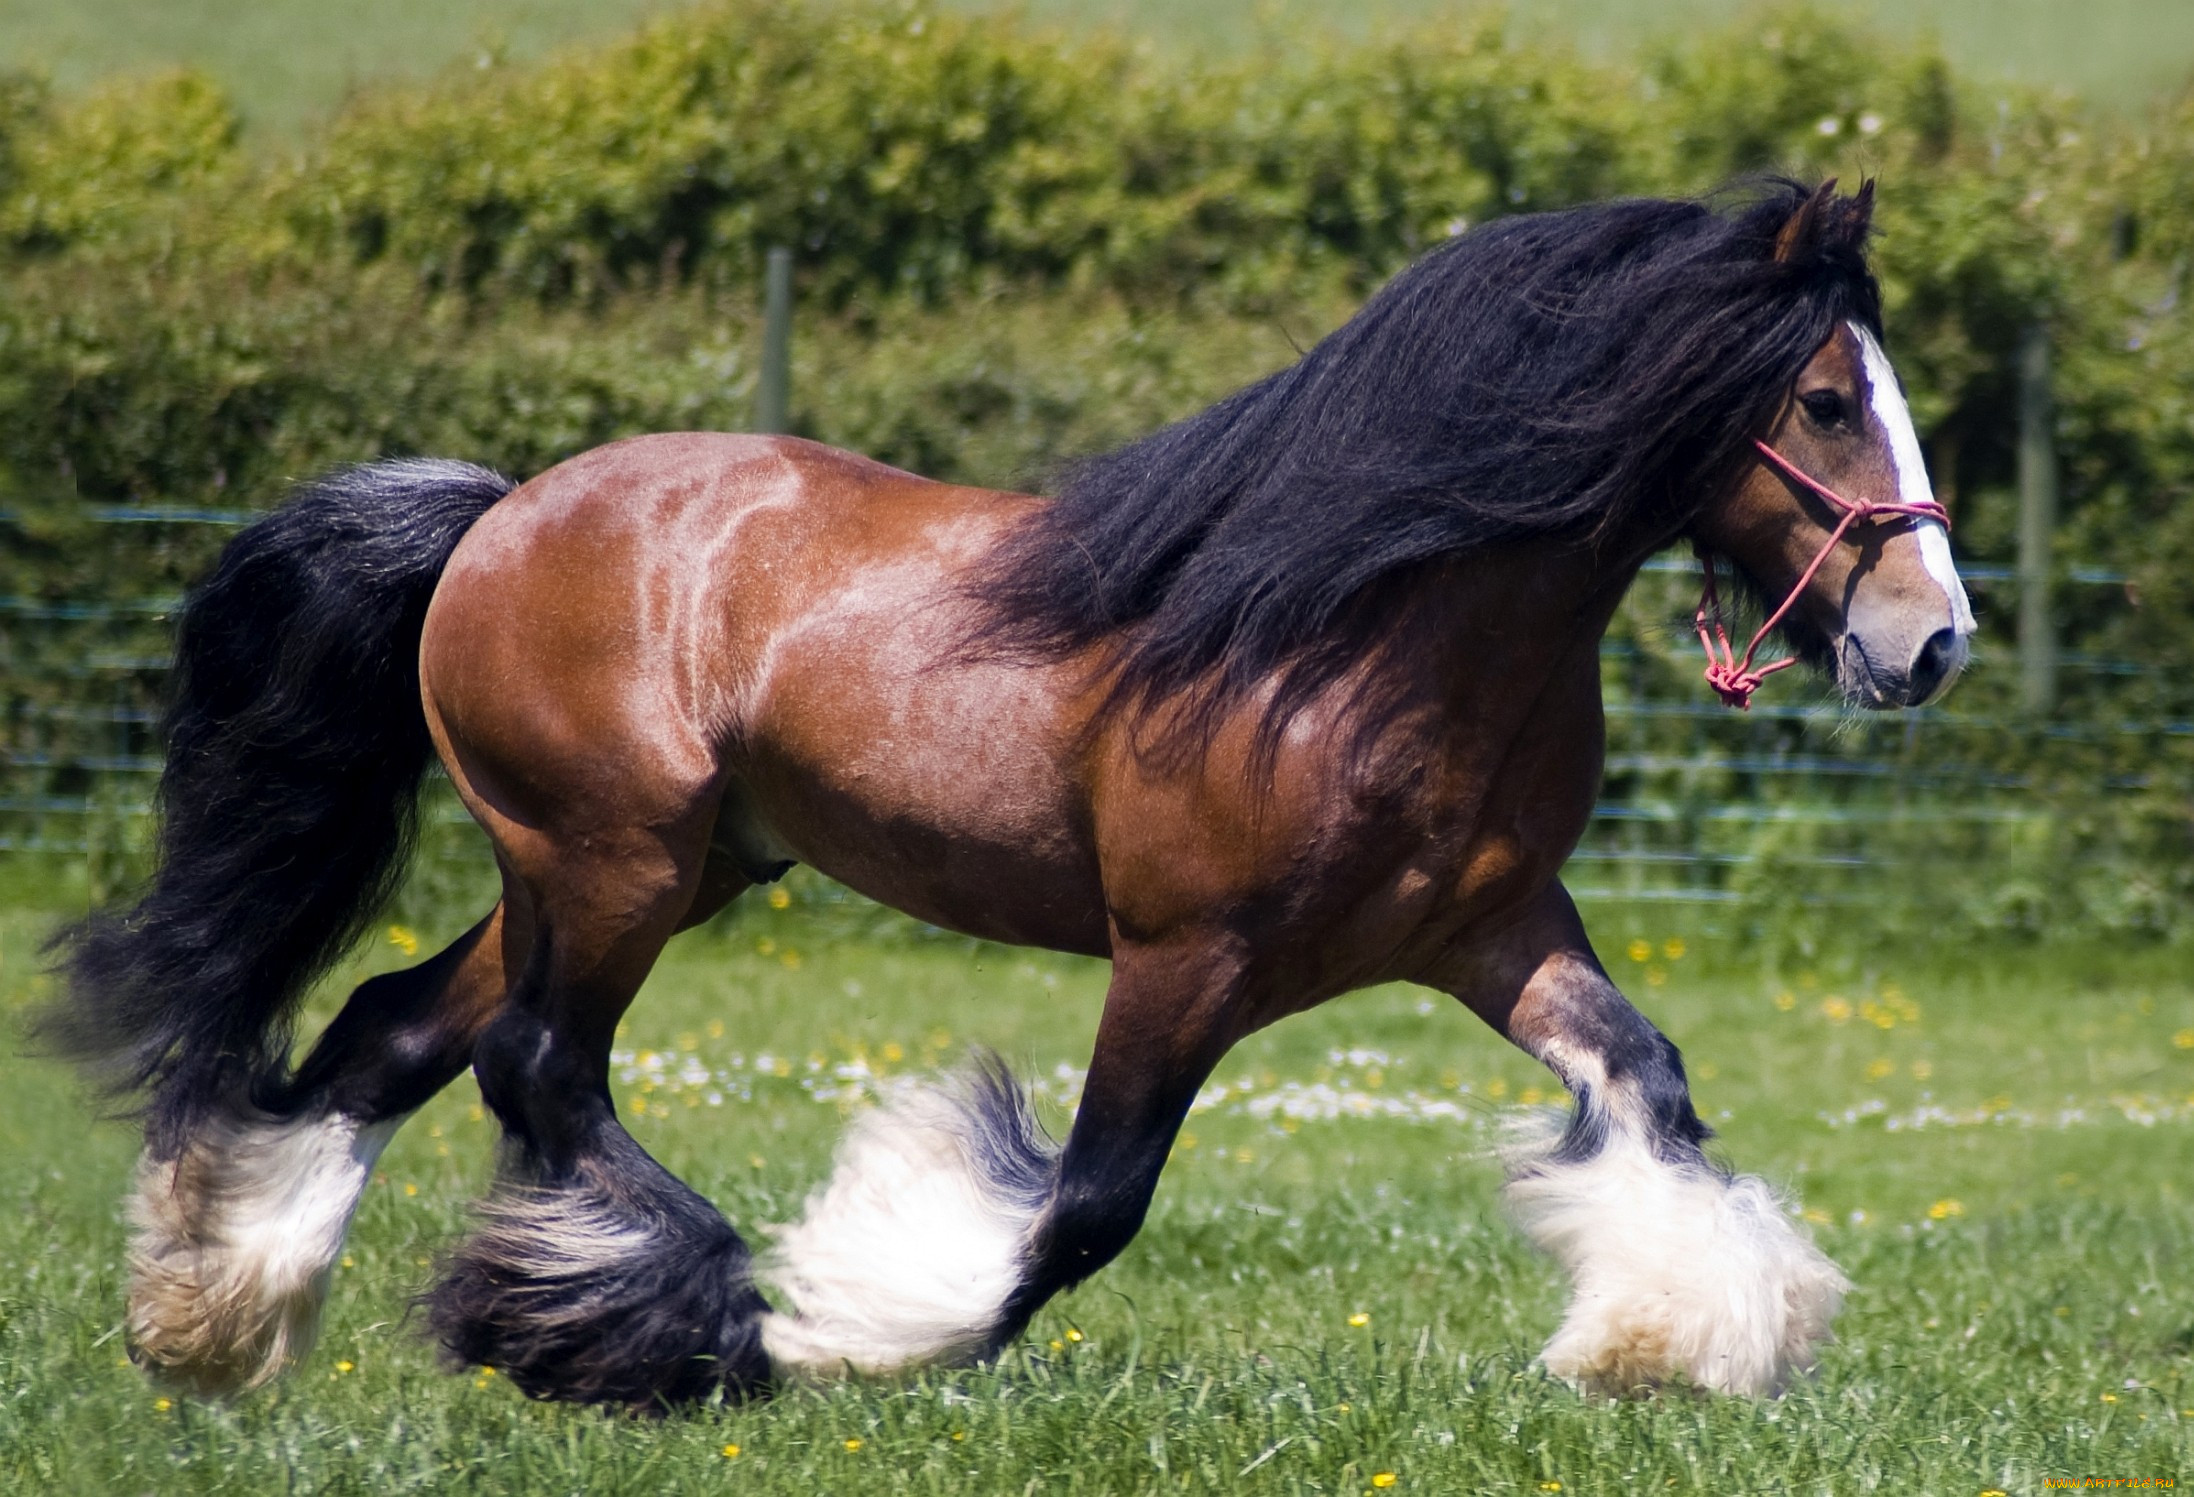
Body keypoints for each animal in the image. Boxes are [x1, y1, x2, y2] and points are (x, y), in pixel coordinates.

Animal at [47, 181, 1974, 1404]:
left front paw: (1659, 1341)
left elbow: (1646, 1081)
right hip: (609, 859)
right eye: (1823, 398)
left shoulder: (1488, 928)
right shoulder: (1186, 955)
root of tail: (501, 512)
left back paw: (216, 1319)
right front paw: (857, 1317)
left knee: (396, 1030)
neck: (1367, 631)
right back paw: (668, 1329)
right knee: (537, 1065)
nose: (1934, 638)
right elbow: (1087, 1199)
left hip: (653, 867)